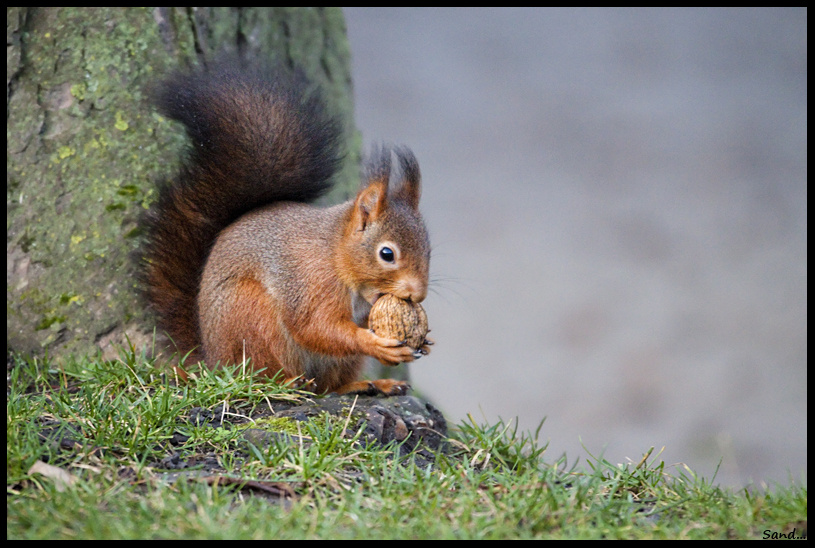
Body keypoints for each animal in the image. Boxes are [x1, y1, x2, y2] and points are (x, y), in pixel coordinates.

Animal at [140, 64, 434, 394]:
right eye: (387, 254)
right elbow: (314, 327)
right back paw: (288, 382)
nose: (419, 295)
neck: (335, 254)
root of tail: (213, 361)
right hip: (250, 316)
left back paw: (368, 384)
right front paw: (374, 343)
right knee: (265, 374)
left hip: (332, 362)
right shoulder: (312, 283)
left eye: (428, 249)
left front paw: (425, 340)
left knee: (328, 387)